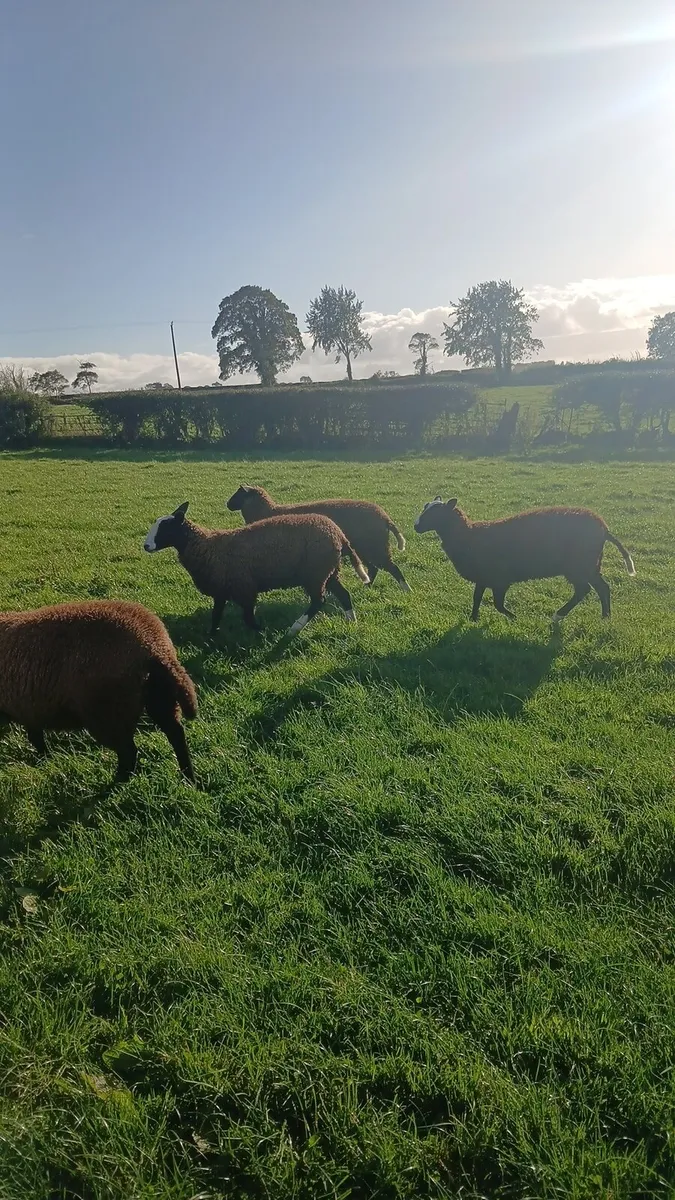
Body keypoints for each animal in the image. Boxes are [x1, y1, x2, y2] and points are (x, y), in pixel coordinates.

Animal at [0, 600, 197, 782]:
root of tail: (156, 648)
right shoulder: (29, 710)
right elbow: (36, 736)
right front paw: (45, 759)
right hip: (161, 698)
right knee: (176, 735)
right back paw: (189, 780)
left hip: (108, 714)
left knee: (129, 752)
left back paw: (117, 784)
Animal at [144, 502, 370, 636]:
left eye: (166, 527)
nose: (146, 546)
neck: (207, 546)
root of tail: (338, 534)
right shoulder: (221, 590)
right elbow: (216, 615)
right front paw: (212, 637)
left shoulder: (245, 589)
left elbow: (248, 618)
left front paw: (261, 631)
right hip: (328, 571)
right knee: (343, 594)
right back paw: (351, 621)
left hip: (315, 573)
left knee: (318, 601)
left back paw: (294, 628)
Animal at [226, 484, 410, 592]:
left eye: (238, 494)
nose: (227, 504)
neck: (267, 511)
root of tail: (385, 517)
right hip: (364, 547)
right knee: (373, 568)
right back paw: (366, 586)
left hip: (375, 546)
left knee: (391, 568)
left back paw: (406, 589)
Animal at [414, 497, 636, 622]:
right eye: (425, 507)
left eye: (435, 512)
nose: (416, 526)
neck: (467, 535)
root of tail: (604, 528)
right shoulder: (483, 578)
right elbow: (476, 598)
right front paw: (473, 619)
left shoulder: (499, 580)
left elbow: (497, 604)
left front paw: (514, 618)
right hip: (591, 564)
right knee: (600, 588)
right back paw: (604, 618)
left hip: (580, 565)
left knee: (586, 589)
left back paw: (561, 616)